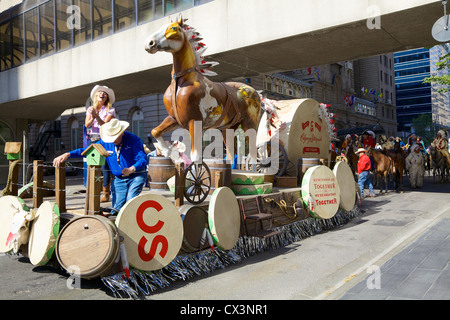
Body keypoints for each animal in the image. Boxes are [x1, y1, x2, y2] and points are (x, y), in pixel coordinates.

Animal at [144, 14, 260, 162]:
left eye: (174, 28)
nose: (149, 43)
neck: (184, 82)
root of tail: (255, 93)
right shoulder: (174, 118)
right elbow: (155, 131)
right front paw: (168, 151)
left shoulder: (195, 121)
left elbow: (196, 156)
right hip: (228, 128)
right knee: (231, 153)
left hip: (250, 124)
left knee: (253, 153)